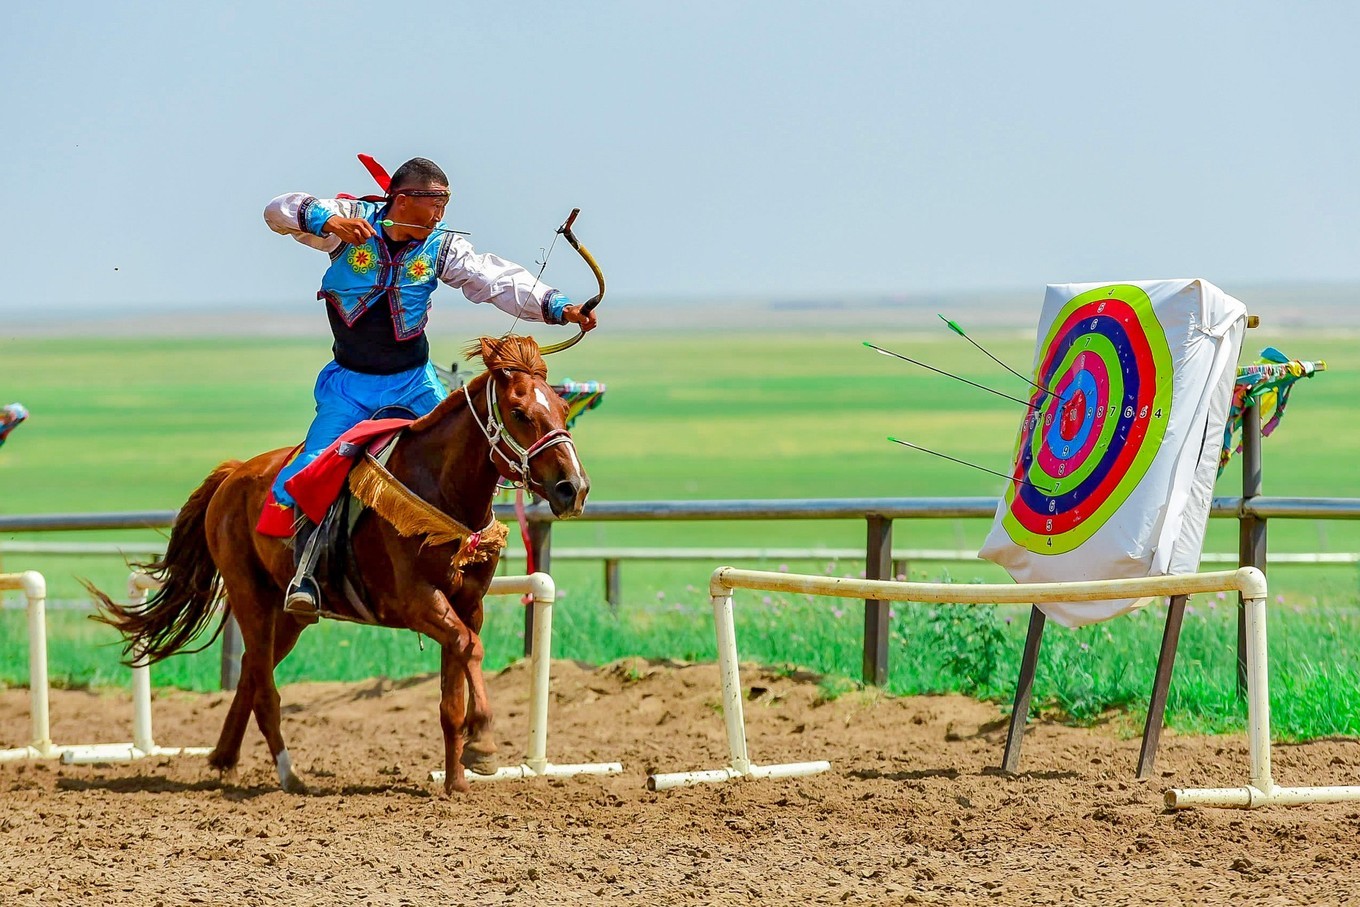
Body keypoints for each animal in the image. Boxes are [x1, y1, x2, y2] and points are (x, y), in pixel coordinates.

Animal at [89, 335, 590, 794]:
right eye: (520, 412)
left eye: (564, 409)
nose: (573, 487)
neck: (438, 487)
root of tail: (233, 475)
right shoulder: (417, 603)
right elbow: (471, 649)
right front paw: (483, 744)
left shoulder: (468, 605)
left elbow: (455, 688)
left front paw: (456, 781)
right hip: (250, 596)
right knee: (264, 687)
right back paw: (289, 775)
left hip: (287, 616)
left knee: (252, 670)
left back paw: (224, 757)